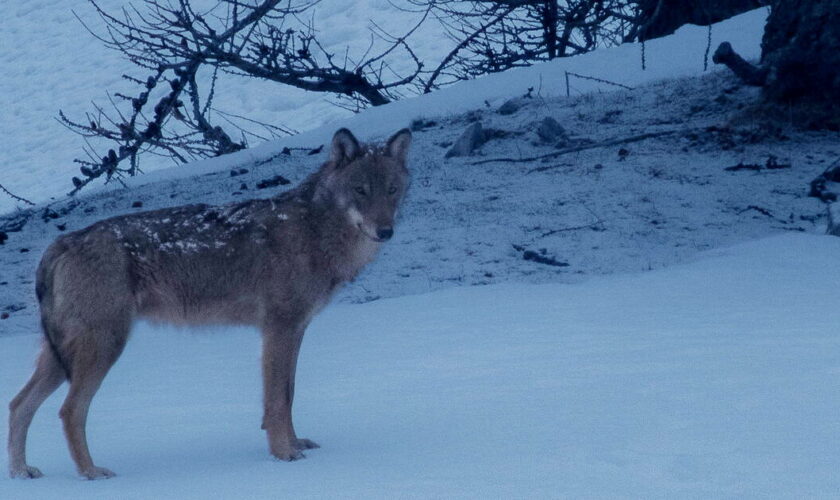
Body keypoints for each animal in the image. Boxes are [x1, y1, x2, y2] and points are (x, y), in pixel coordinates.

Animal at [6, 127, 412, 478]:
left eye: (392, 190)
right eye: (360, 190)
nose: (386, 231)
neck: (315, 230)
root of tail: (61, 242)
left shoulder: (295, 330)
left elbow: (289, 394)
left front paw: (296, 446)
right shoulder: (279, 330)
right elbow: (277, 401)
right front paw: (284, 456)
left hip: (64, 357)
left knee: (17, 405)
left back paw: (21, 473)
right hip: (103, 348)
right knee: (69, 410)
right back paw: (92, 473)